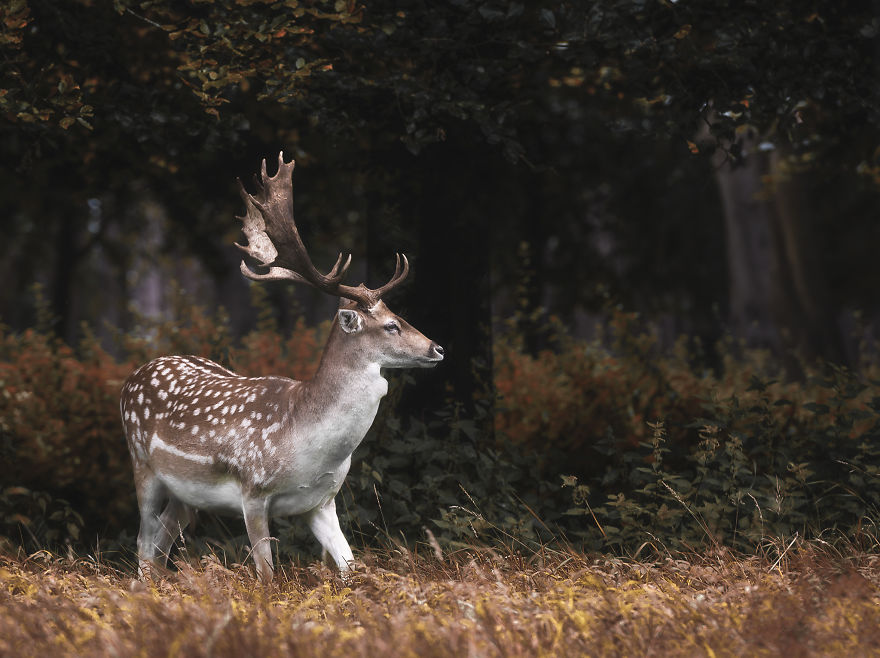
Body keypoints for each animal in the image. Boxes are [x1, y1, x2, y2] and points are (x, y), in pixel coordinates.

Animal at [120, 153, 444, 582]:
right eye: (391, 325)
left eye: (400, 316)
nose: (437, 347)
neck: (305, 443)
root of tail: (135, 374)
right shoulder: (253, 490)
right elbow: (268, 577)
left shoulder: (322, 501)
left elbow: (351, 567)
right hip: (142, 465)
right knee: (143, 543)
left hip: (186, 495)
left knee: (160, 545)